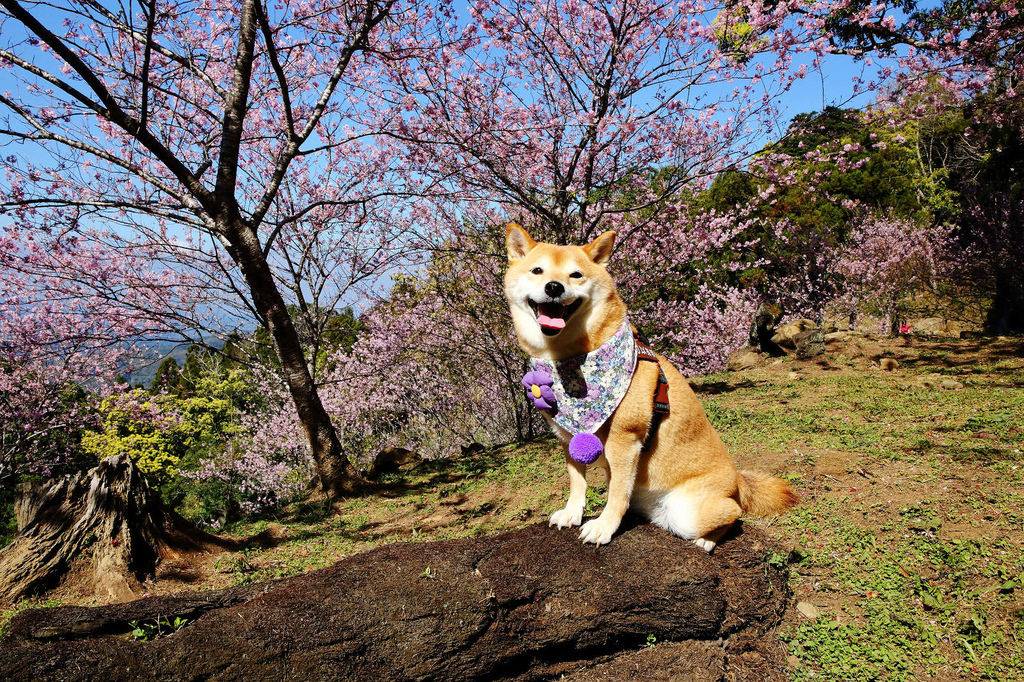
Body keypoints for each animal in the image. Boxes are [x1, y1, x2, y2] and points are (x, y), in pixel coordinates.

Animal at [505, 220, 798, 548]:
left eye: (575, 275)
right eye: (538, 271)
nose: (554, 287)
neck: (568, 362)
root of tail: (737, 479)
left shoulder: (625, 439)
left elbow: (616, 494)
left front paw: (603, 525)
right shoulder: (568, 437)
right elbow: (577, 482)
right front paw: (572, 512)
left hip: (689, 513)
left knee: (733, 513)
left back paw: (707, 540)